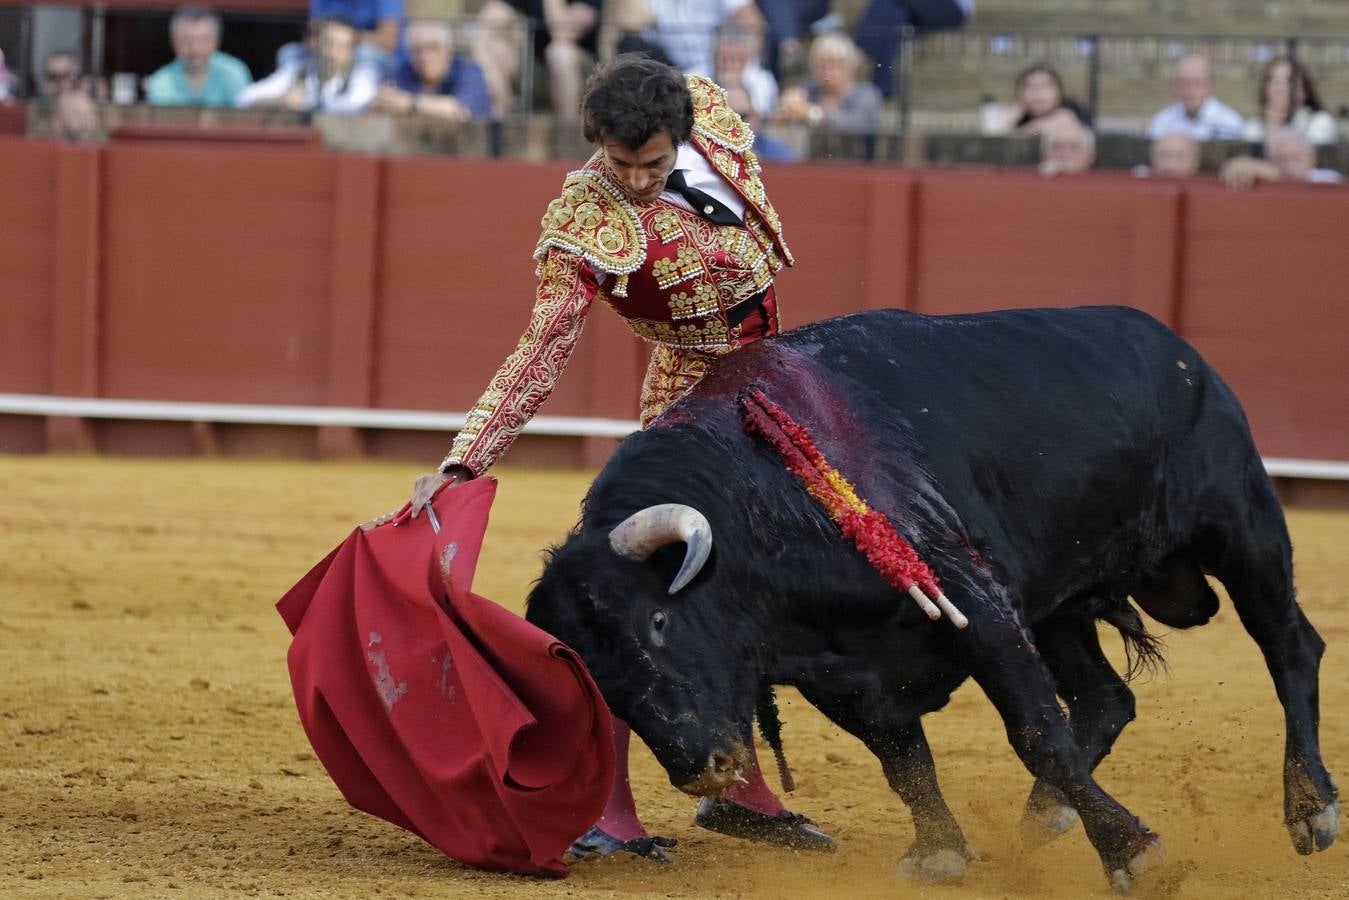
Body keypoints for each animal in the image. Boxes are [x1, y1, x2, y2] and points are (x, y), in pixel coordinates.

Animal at [520, 306, 1332, 890]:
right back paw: (1044, 815)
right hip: (1059, 603)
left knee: (1290, 645)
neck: (760, 503)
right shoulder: (841, 672)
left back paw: (1311, 809)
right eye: (597, 680)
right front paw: (939, 851)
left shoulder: (974, 601)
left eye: (657, 620)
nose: (702, 768)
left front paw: (1133, 854)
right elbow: (903, 760)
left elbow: (1035, 733)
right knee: (1106, 697)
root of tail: (1178, 350)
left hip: (1242, 525)